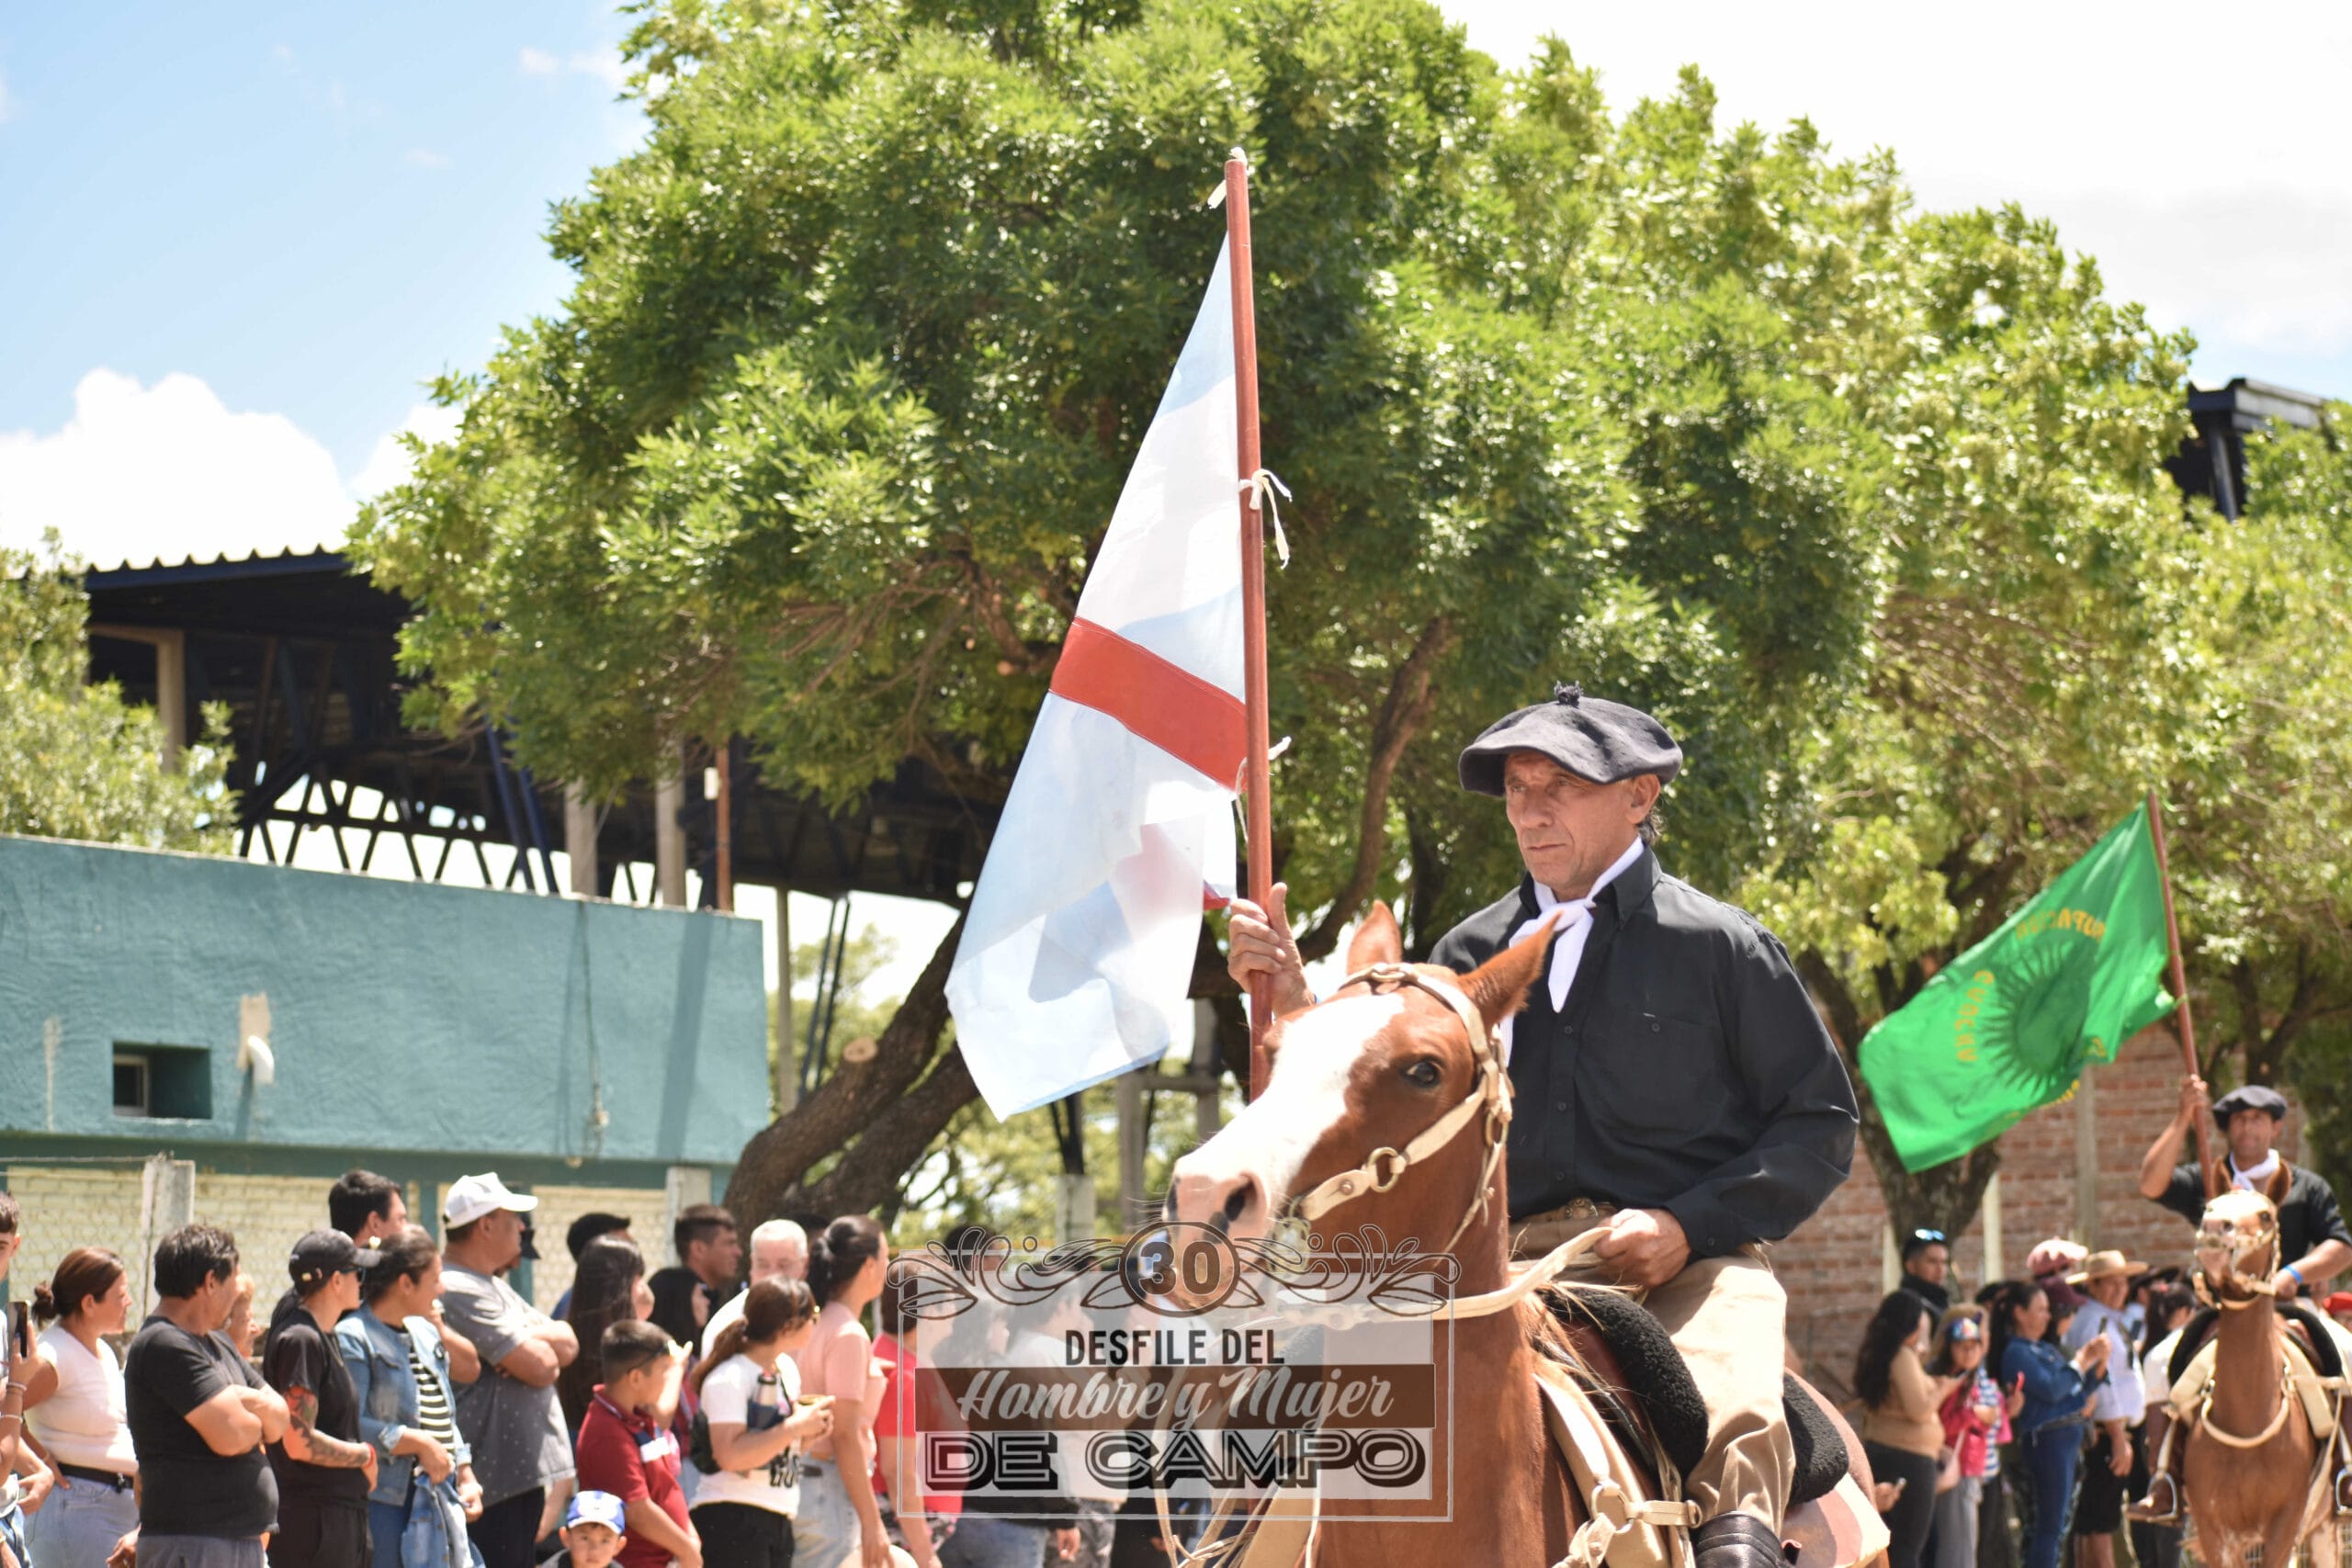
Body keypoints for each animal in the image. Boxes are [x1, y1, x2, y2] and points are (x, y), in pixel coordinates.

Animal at [2179, 1189, 2339, 1568]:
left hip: (2324, 1526)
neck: (2247, 1421)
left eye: (2266, 1215)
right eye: (2209, 1207)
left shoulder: (2286, 1523)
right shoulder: (2216, 1531)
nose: (2214, 1230)